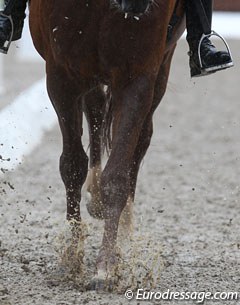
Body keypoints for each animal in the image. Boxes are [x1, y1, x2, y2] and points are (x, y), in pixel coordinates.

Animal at [29, 0, 185, 288]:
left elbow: (117, 176)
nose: (136, 3)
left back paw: (122, 226)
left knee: (141, 138)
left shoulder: (137, 75)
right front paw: (71, 255)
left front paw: (106, 266)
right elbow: (72, 165)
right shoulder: (61, 76)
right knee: (96, 110)